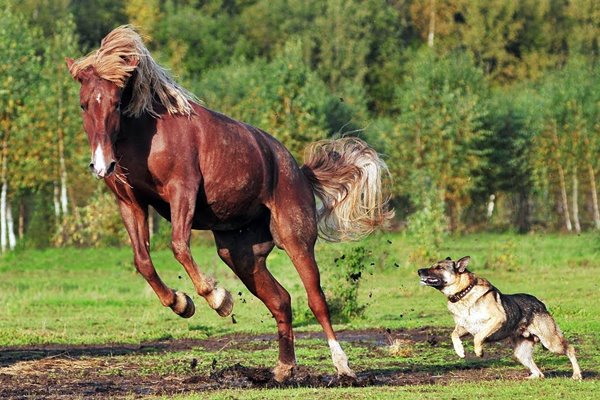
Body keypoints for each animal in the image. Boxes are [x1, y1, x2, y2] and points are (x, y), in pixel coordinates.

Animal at [67, 25, 394, 382]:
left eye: (116, 103)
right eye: (83, 105)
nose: (102, 165)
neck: (146, 134)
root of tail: (300, 172)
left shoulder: (183, 191)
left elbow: (178, 245)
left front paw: (217, 298)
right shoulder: (130, 202)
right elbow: (143, 261)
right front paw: (181, 303)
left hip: (296, 240)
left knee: (316, 300)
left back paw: (342, 365)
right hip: (240, 254)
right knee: (281, 300)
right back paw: (283, 368)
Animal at [418, 255, 580, 380]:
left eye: (439, 268)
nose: (419, 271)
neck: (464, 293)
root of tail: (540, 304)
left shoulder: (497, 319)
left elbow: (478, 337)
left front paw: (479, 351)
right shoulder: (465, 327)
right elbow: (453, 334)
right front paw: (460, 351)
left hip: (551, 342)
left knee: (570, 349)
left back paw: (577, 375)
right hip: (521, 353)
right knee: (540, 373)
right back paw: (531, 377)